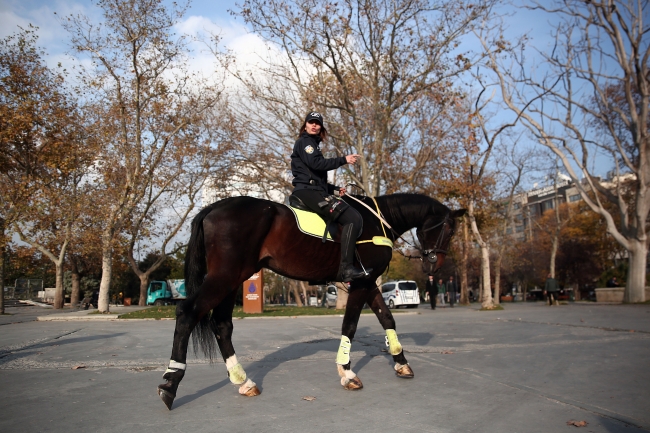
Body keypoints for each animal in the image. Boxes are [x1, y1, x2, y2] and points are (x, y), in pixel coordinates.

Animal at [156, 192, 460, 408]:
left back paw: (243, 381)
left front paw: (401, 362)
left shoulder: (369, 282)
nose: (434, 264)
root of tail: (213, 208)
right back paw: (171, 383)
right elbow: (350, 325)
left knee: (221, 325)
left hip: (232, 280)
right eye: (448, 229)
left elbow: (387, 318)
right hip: (225, 276)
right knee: (188, 313)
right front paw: (347, 372)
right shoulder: (360, 282)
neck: (377, 220)